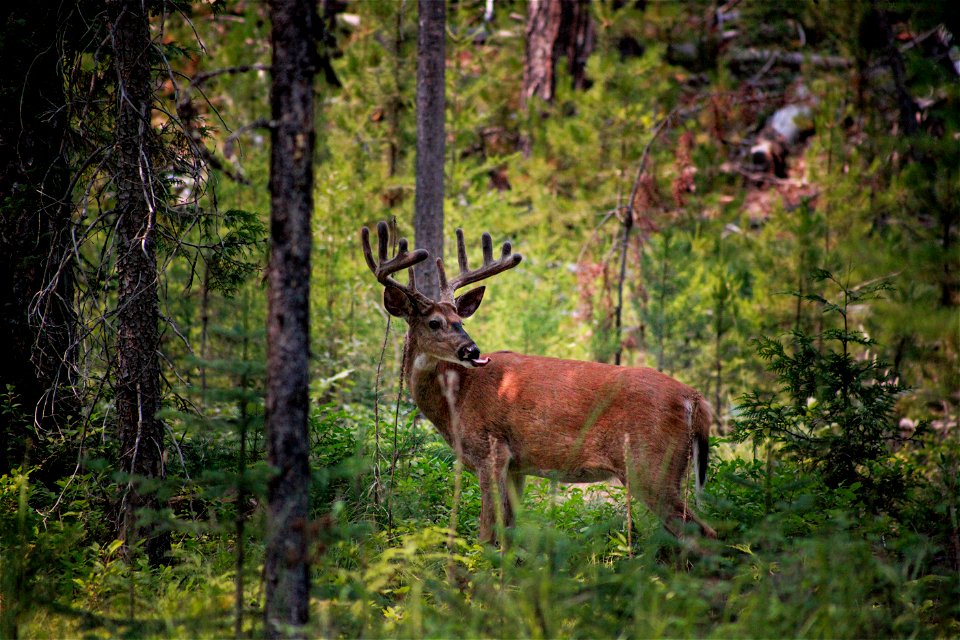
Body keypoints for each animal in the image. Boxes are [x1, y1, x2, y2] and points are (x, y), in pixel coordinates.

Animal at [364, 222, 716, 544]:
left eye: (460, 321)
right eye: (434, 323)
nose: (472, 350)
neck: (457, 398)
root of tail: (695, 399)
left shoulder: (490, 451)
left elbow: (486, 533)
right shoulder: (517, 466)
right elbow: (509, 532)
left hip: (650, 465)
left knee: (703, 533)